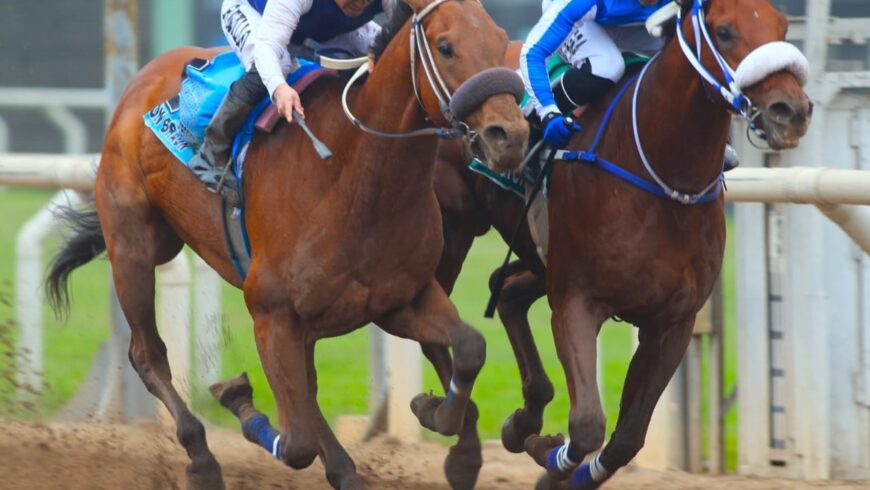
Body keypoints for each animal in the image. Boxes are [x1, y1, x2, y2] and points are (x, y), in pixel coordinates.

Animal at [47, 0, 528, 490]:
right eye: (446, 47)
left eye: (498, 40)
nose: (509, 135)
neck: (355, 177)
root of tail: (140, 82)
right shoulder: (271, 313)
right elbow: (296, 444)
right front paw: (237, 398)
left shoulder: (400, 300)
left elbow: (469, 346)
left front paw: (441, 423)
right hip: (134, 246)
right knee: (147, 353)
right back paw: (202, 459)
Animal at [432, 0, 816, 486]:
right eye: (725, 31)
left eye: (782, 26)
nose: (791, 110)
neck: (664, 177)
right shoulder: (576, 302)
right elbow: (587, 425)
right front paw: (550, 459)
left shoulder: (671, 323)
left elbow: (628, 437)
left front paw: (556, 462)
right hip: (453, 231)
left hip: (540, 259)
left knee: (507, 291)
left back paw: (523, 419)